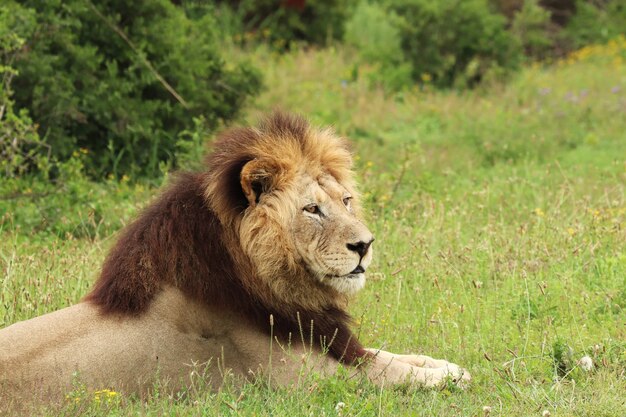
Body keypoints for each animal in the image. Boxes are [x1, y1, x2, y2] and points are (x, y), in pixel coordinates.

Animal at [0, 111, 468, 410]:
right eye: (312, 209)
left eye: (346, 200)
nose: (365, 244)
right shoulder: (308, 379)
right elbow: (392, 373)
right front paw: (447, 378)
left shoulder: (333, 344)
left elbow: (390, 354)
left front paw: (444, 365)